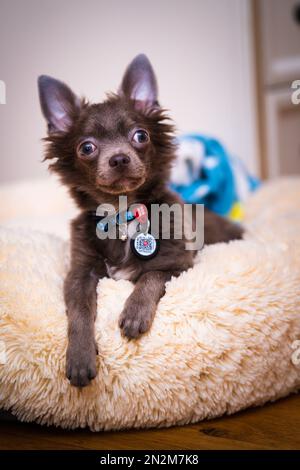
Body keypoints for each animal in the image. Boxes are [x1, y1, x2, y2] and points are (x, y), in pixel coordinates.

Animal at [38, 54, 244, 386]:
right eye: (86, 147)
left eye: (140, 136)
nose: (119, 158)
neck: (123, 213)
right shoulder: (78, 274)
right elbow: (79, 312)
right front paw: (80, 356)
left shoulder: (179, 265)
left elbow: (151, 276)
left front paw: (135, 313)